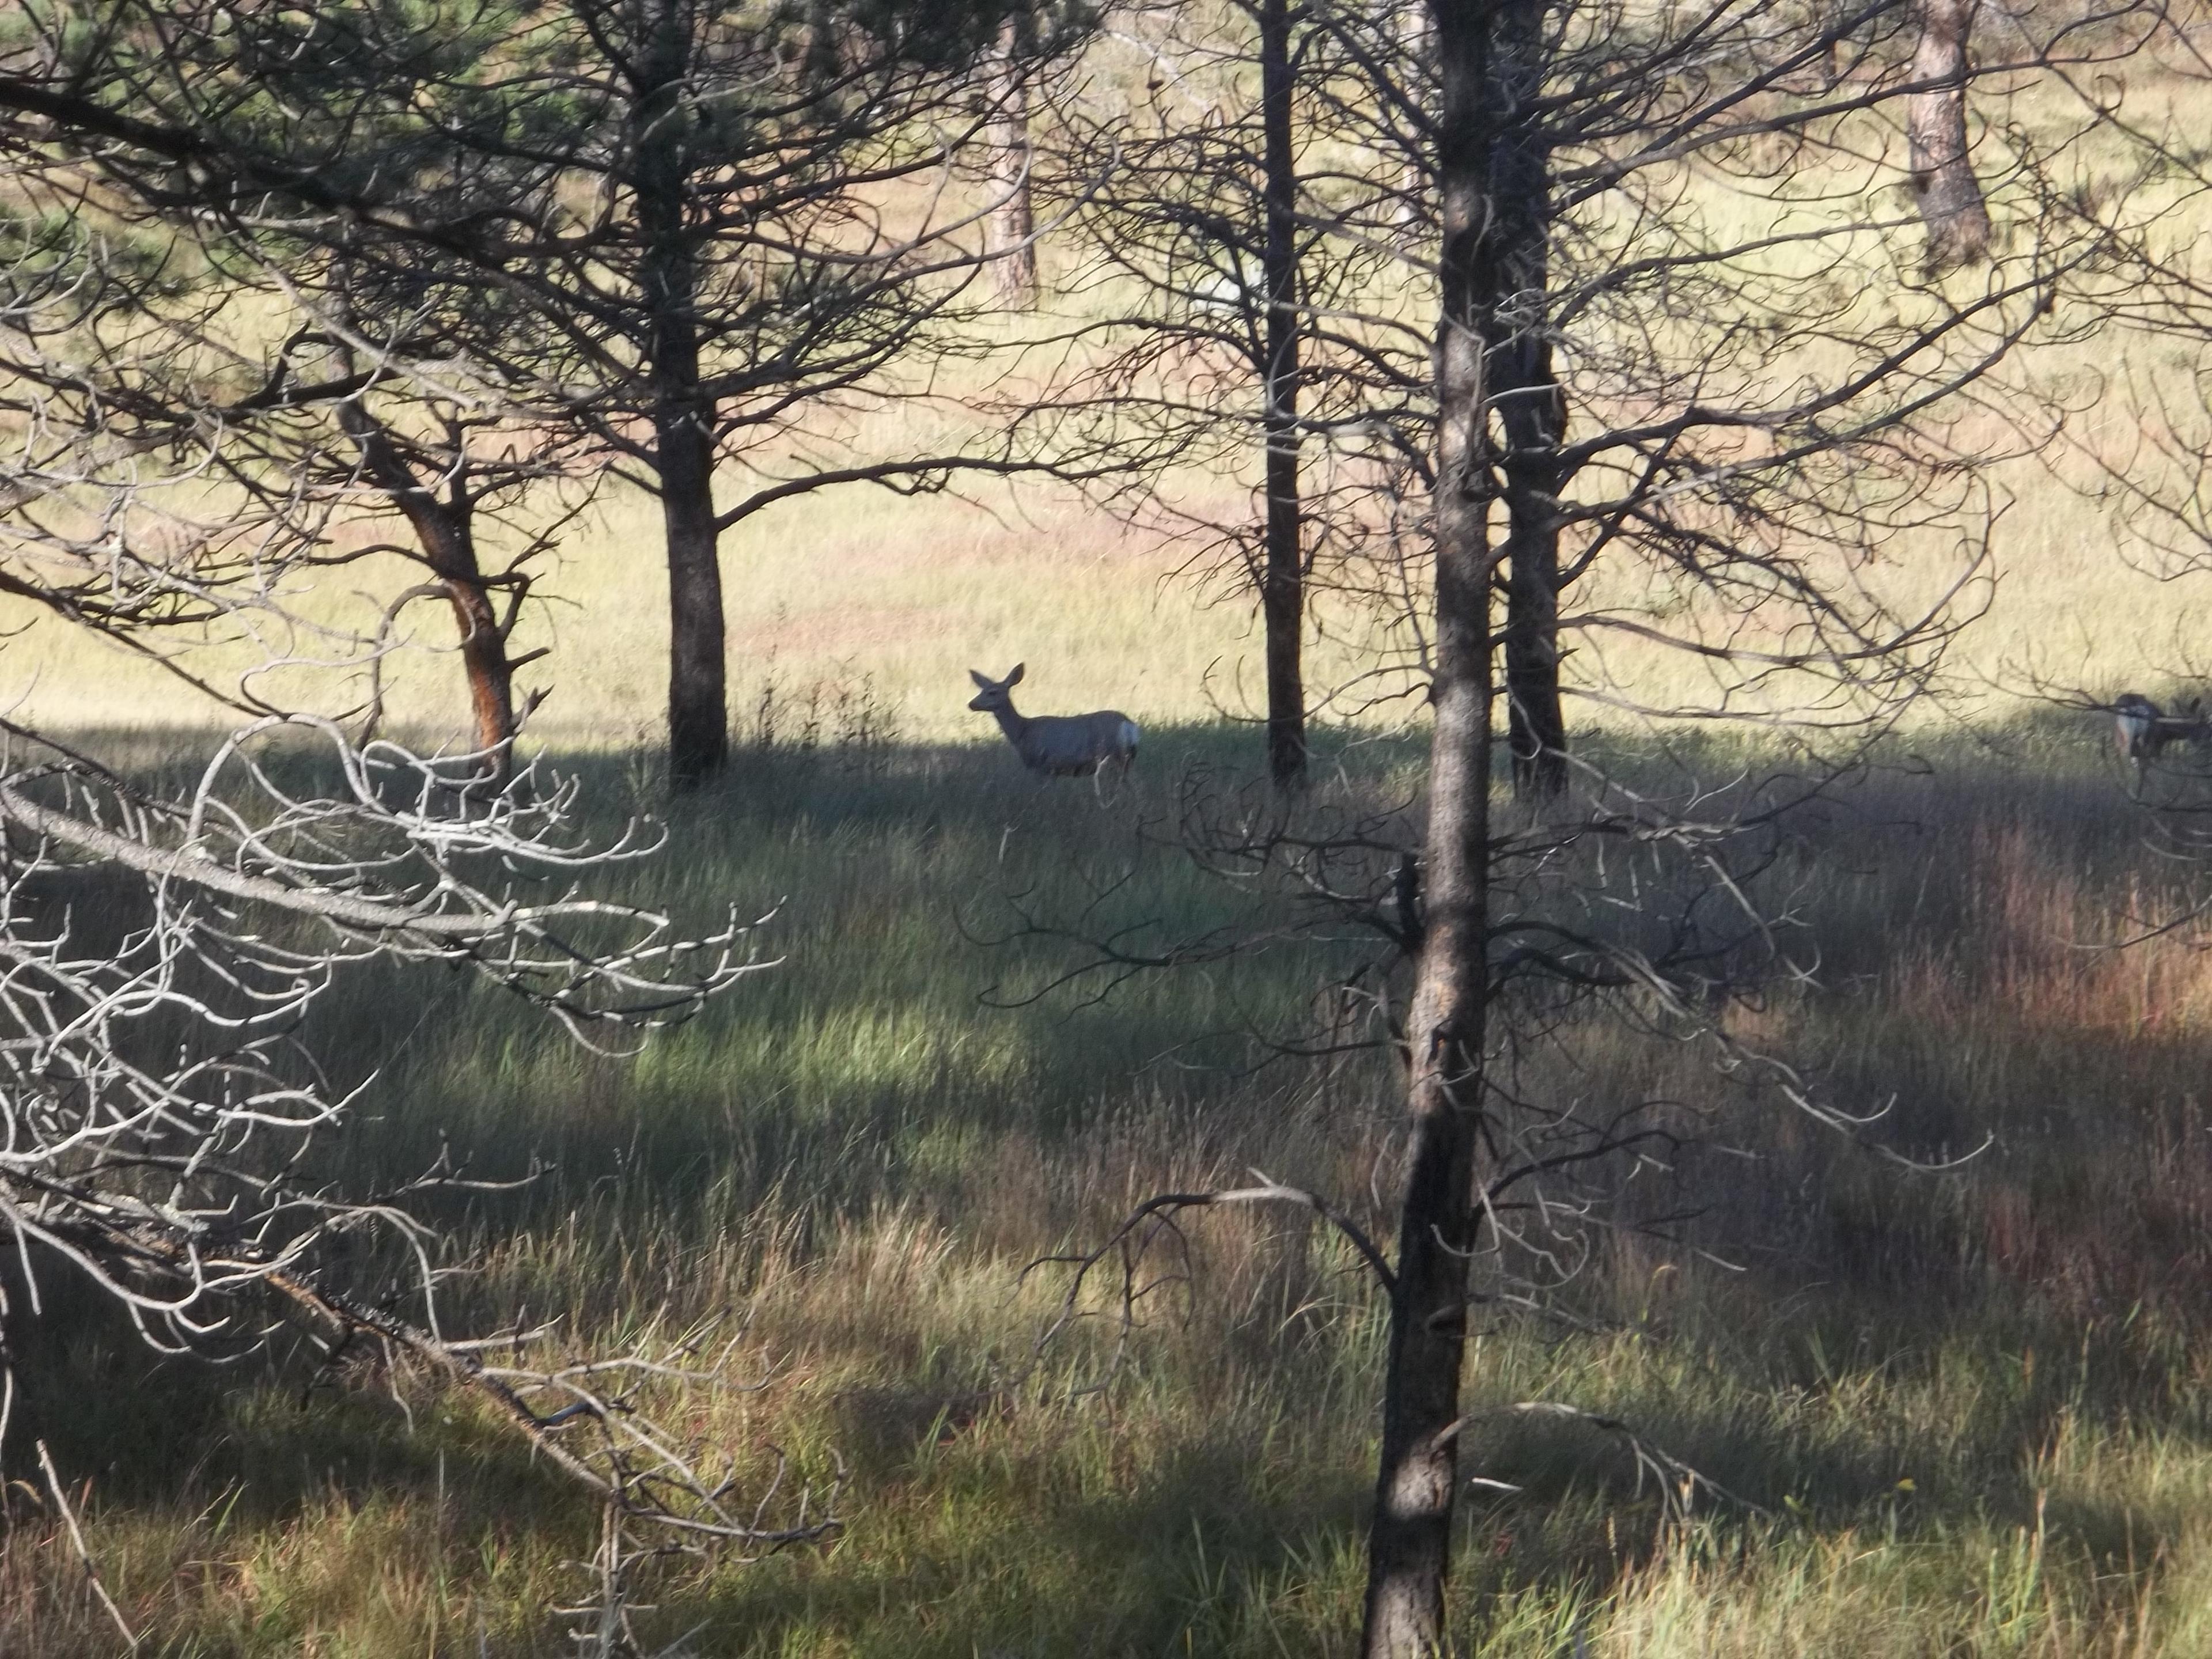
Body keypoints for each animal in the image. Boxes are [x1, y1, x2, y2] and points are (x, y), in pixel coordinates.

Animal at [967, 664, 1140, 780]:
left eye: (993, 692)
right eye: (981, 690)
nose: (971, 704)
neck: (1022, 731)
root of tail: (1129, 726)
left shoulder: (1043, 764)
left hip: (1112, 756)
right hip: (1126, 759)